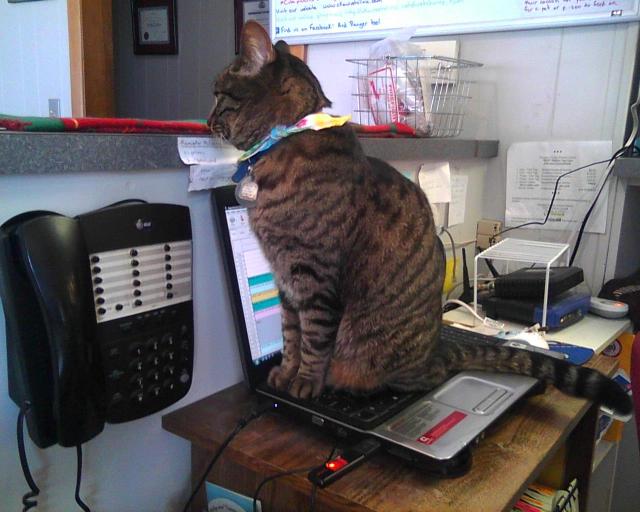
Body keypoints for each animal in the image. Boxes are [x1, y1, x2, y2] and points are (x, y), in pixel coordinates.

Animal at [209, 21, 632, 416]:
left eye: (218, 94)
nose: (208, 119)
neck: (283, 141)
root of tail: (437, 351)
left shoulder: (314, 279)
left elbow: (313, 340)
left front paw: (306, 382)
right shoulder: (286, 281)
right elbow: (290, 335)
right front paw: (285, 372)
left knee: (421, 377)